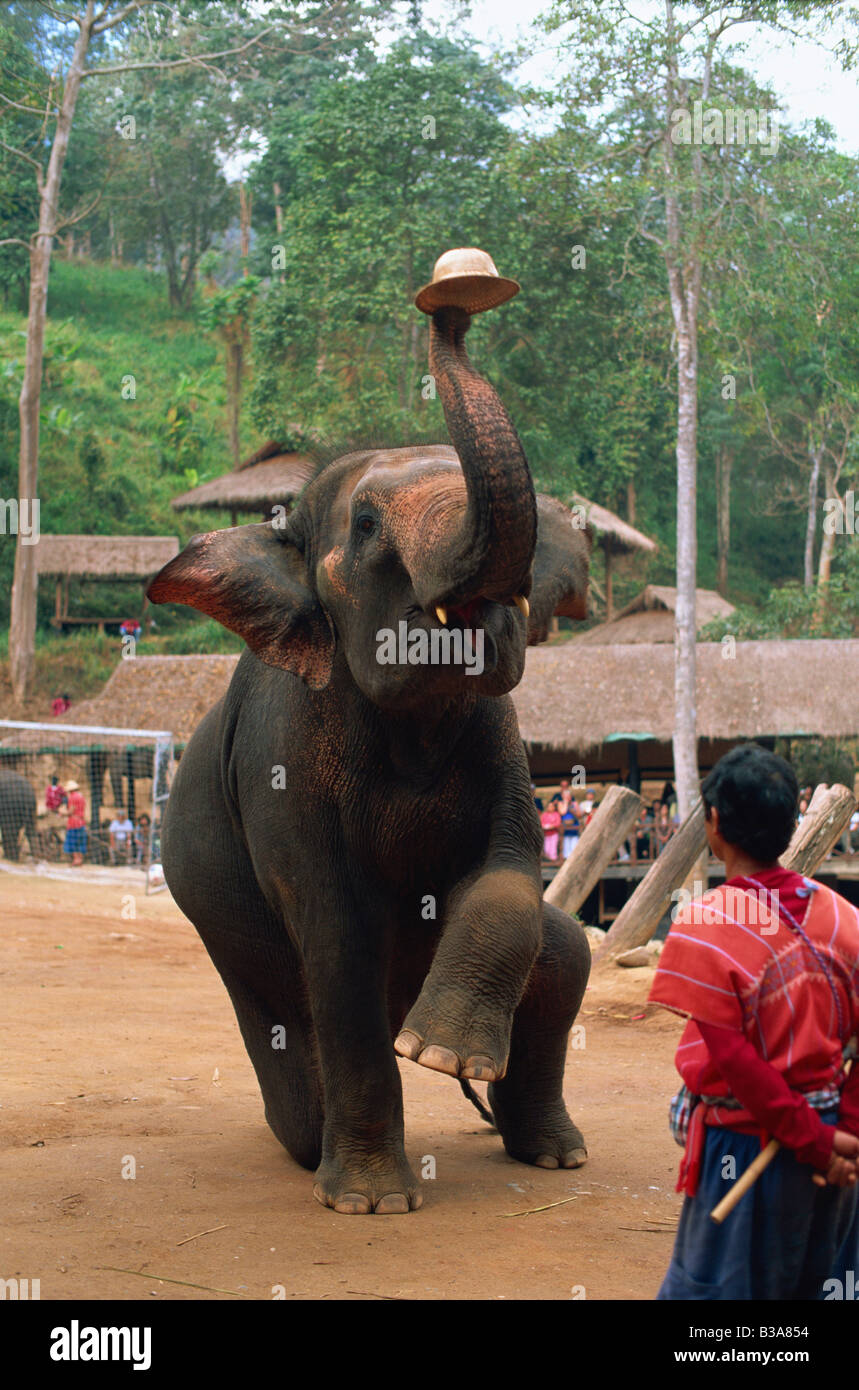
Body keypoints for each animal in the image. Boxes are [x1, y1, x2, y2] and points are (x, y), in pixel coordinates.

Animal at [147, 269, 593, 1215]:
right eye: (362, 527)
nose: (451, 301)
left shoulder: (500, 735)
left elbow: (508, 870)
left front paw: (441, 1052)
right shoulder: (283, 759)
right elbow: (337, 939)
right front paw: (371, 1203)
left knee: (567, 950)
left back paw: (552, 1154)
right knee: (295, 1052)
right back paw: (317, 1146)